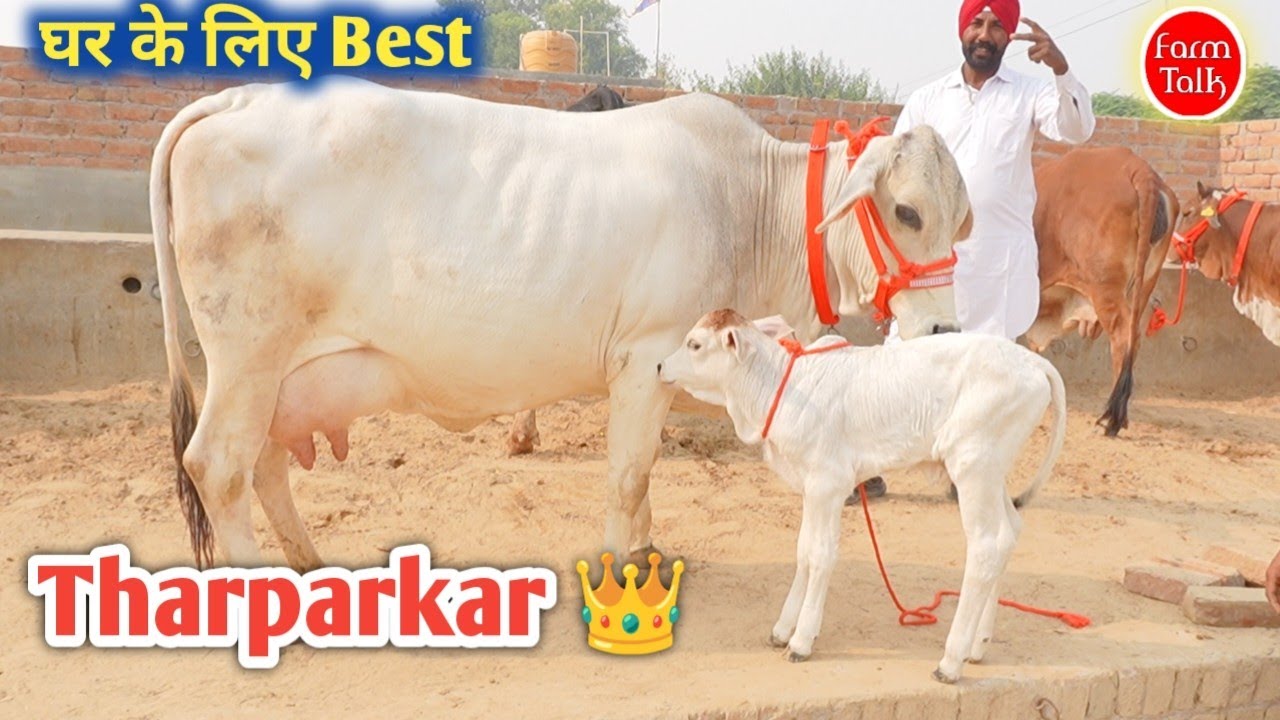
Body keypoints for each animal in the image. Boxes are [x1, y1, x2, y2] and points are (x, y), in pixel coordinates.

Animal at [150, 77, 972, 570]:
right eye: (907, 211)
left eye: (962, 220)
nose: (943, 334)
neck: (748, 205)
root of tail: (233, 99)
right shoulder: (645, 357)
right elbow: (628, 476)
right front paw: (619, 568)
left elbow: (642, 482)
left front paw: (643, 550)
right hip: (247, 351)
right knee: (217, 465)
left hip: (278, 373)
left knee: (262, 462)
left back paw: (310, 567)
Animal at [657, 309, 1066, 683]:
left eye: (695, 344)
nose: (660, 364)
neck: (782, 386)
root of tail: (1033, 361)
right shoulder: (812, 489)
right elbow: (803, 551)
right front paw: (783, 629)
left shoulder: (829, 484)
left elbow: (821, 555)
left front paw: (802, 640)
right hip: (991, 473)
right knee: (1009, 532)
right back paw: (978, 645)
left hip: (972, 467)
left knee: (986, 546)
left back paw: (951, 661)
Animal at [1025, 146, 1178, 436]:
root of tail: (1141, 170)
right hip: (1142, 286)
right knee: (1133, 338)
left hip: (1106, 290)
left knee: (1122, 337)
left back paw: (1111, 420)